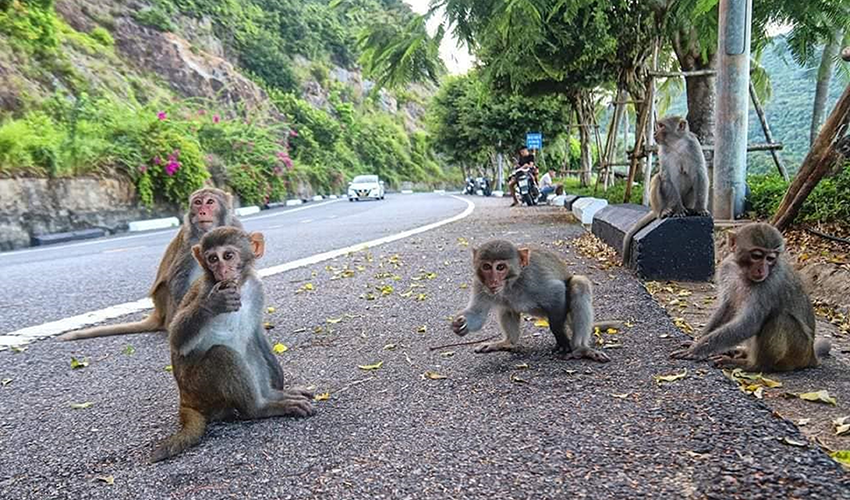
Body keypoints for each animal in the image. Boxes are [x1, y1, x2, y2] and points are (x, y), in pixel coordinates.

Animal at [59, 187, 242, 341]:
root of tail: (159, 313)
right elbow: (178, 278)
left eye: (210, 202)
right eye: (197, 202)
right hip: (168, 306)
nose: (201, 211)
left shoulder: (234, 227)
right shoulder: (190, 239)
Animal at [150, 227, 314, 463]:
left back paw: (273, 395)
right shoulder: (205, 289)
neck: (241, 286)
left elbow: (256, 332)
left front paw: (279, 382)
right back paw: (259, 408)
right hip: (201, 388)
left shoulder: (257, 287)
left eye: (228, 256)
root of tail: (186, 399)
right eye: (212, 259)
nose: (222, 271)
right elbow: (177, 339)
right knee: (222, 354)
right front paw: (213, 304)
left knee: (249, 346)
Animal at [451, 239, 613, 362]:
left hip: (567, 314)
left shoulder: (533, 281)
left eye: (500, 267)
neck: (512, 284)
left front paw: (560, 336)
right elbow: (477, 314)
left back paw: (581, 349)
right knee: (506, 307)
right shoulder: (479, 284)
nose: (493, 282)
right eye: (486, 266)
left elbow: (557, 292)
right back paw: (508, 342)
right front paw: (460, 324)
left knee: (579, 284)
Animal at [622, 115, 710, 265]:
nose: (655, 133)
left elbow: (700, 175)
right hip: (663, 203)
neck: (676, 144)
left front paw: (701, 209)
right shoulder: (662, 150)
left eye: (662, 126)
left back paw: (690, 208)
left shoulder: (694, 145)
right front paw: (678, 211)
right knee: (657, 178)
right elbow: (667, 178)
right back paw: (664, 211)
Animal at [670, 223, 830, 372]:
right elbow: (728, 307)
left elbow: (749, 323)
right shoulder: (727, 268)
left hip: (798, 351)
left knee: (780, 318)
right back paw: (742, 353)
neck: (743, 272)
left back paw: (754, 365)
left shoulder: (769, 284)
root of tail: (811, 356)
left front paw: (698, 349)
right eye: (757, 256)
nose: (762, 269)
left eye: (770, 258)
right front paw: (697, 341)